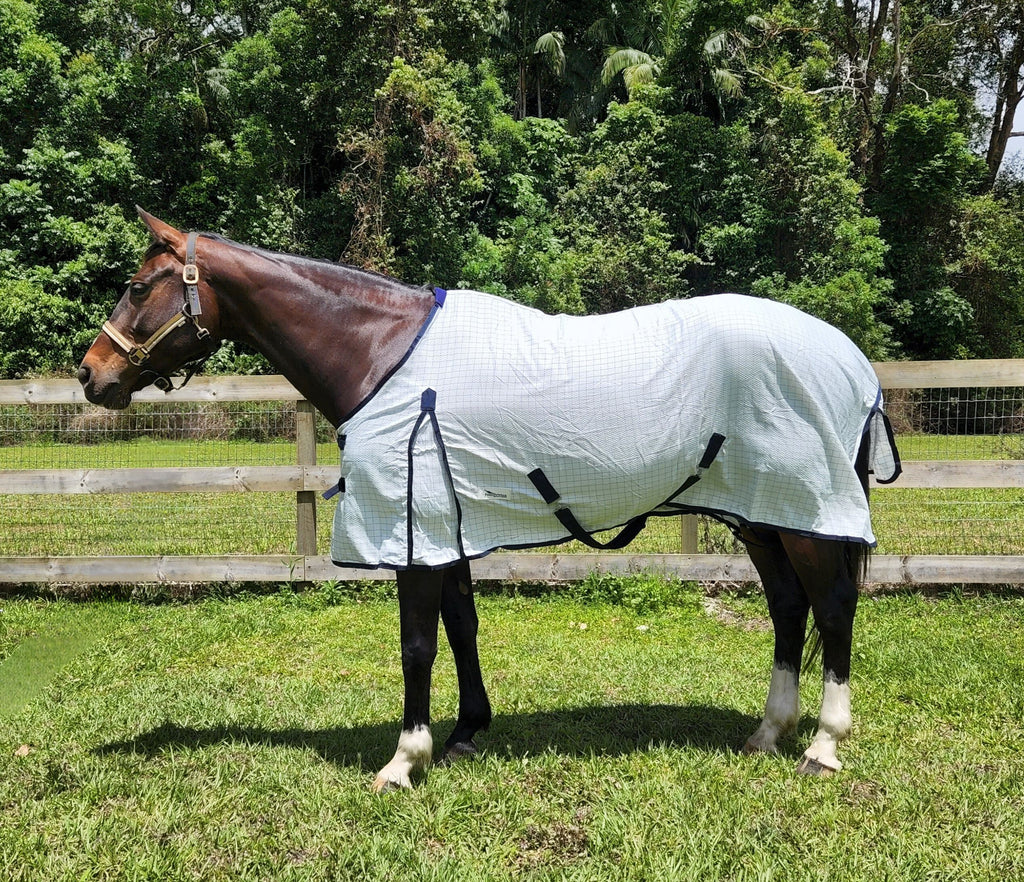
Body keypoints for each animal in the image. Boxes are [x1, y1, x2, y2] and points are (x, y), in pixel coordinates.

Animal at [78, 208, 901, 790]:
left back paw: (822, 745)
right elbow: (463, 627)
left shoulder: (413, 531)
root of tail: (849, 357)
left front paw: (403, 761)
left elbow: (417, 645)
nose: (91, 374)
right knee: (790, 609)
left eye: (136, 286)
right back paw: (766, 733)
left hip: (808, 519)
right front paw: (466, 733)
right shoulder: (445, 524)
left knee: (831, 612)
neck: (381, 353)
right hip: (764, 515)